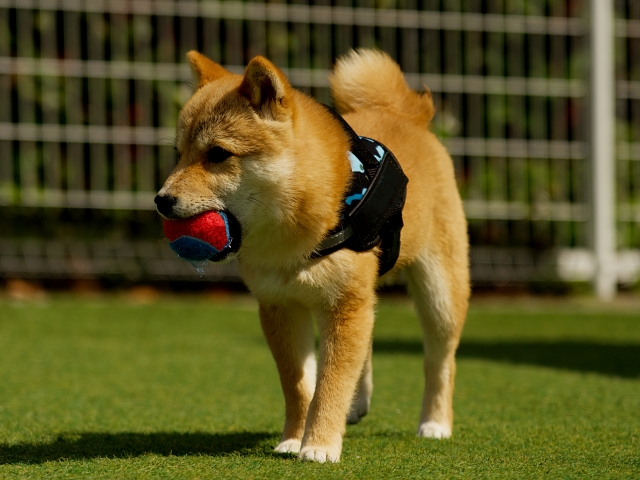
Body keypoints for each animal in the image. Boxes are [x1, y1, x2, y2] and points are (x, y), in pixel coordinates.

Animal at [155, 48, 470, 462]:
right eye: (178, 154)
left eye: (218, 154)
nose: (161, 200)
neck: (290, 238)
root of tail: (405, 114)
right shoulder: (281, 307)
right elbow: (299, 385)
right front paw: (293, 439)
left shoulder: (342, 304)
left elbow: (330, 383)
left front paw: (319, 444)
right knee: (369, 339)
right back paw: (358, 404)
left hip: (440, 294)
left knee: (440, 361)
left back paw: (435, 423)